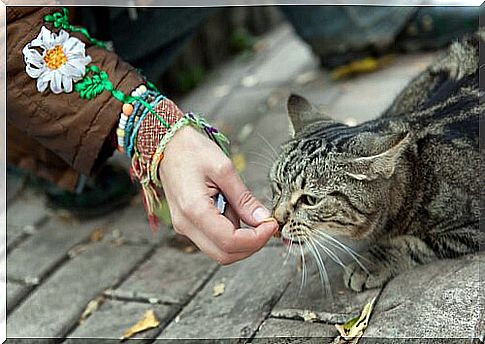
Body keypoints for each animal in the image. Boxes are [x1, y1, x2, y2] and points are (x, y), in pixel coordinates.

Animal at [270, 30, 482, 292]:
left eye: (310, 200)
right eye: (278, 186)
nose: (277, 219)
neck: (417, 173)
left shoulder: (471, 228)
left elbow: (412, 243)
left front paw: (371, 262)